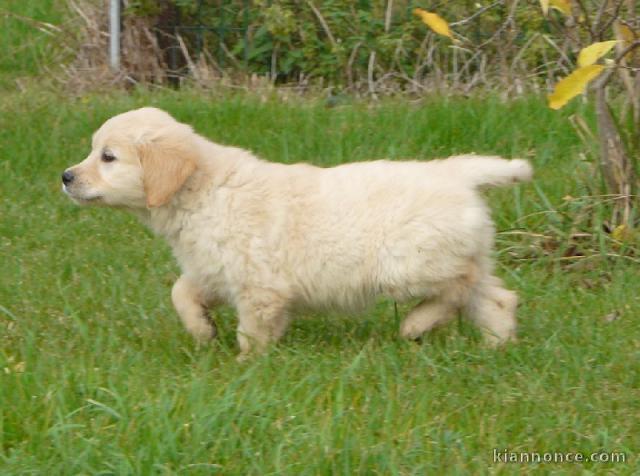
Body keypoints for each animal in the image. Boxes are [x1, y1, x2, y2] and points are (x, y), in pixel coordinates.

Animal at [63, 106, 528, 356]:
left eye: (108, 157)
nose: (65, 177)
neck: (203, 190)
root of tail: (456, 172)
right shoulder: (214, 270)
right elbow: (181, 292)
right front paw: (202, 330)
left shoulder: (258, 285)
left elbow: (252, 331)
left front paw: (246, 367)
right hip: (461, 252)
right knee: (497, 297)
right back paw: (496, 347)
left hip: (411, 262)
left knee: (458, 287)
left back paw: (416, 324)